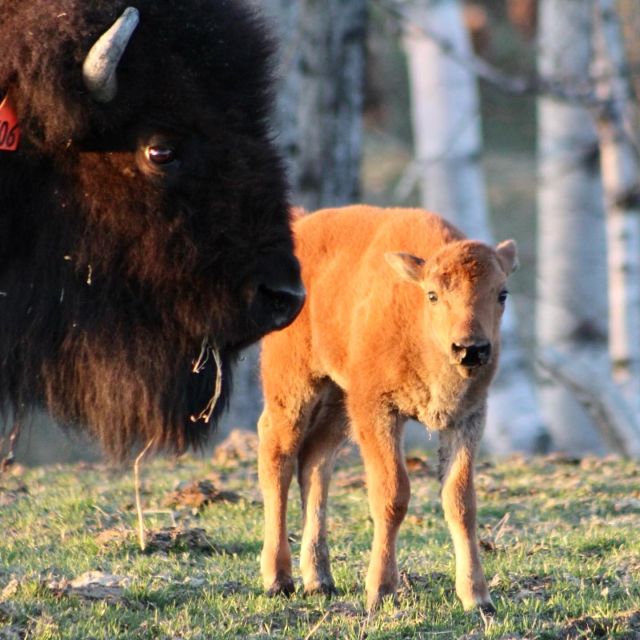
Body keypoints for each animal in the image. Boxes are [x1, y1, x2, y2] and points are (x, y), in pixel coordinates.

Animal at [258, 206, 516, 616]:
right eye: (433, 294)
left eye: (502, 293)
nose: (470, 349)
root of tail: (303, 224)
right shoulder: (379, 410)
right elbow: (392, 495)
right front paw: (381, 590)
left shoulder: (466, 418)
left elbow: (461, 501)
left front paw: (478, 598)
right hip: (294, 386)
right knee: (277, 456)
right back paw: (278, 579)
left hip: (338, 401)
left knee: (315, 463)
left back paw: (319, 580)